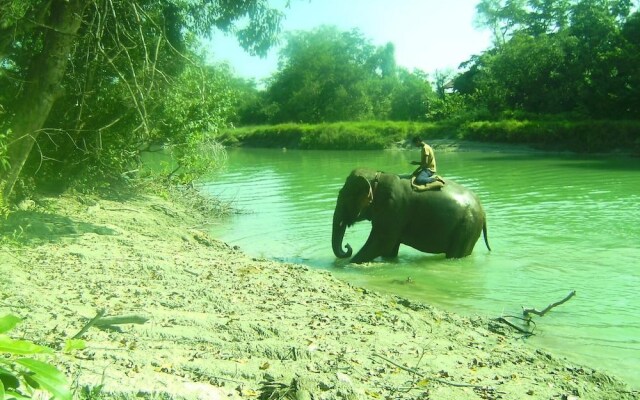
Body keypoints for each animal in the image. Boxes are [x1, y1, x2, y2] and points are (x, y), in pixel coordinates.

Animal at [330, 168, 490, 264]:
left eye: (344, 197)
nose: (348, 246)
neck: (377, 176)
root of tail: (483, 211)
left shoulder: (393, 208)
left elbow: (381, 243)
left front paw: (348, 264)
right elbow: (389, 248)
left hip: (467, 228)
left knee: (455, 254)